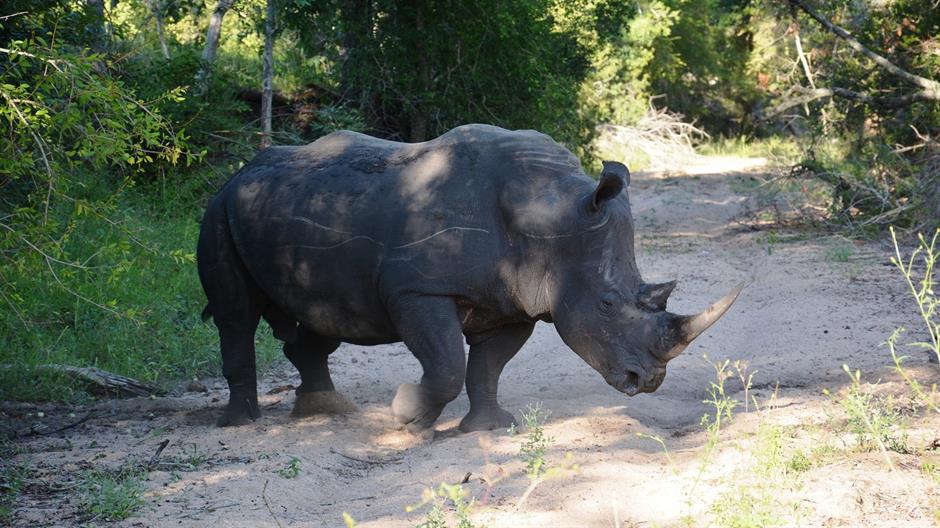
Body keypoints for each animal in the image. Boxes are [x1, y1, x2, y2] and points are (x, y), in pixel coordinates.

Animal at [197, 124, 742, 431]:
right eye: (608, 302)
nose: (646, 381)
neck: (549, 214)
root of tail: (239, 170)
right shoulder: (418, 290)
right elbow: (446, 364)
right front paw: (406, 418)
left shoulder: (515, 301)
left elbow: (485, 368)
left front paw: (488, 429)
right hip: (219, 208)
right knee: (235, 317)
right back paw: (241, 424)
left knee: (316, 312)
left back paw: (325, 411)